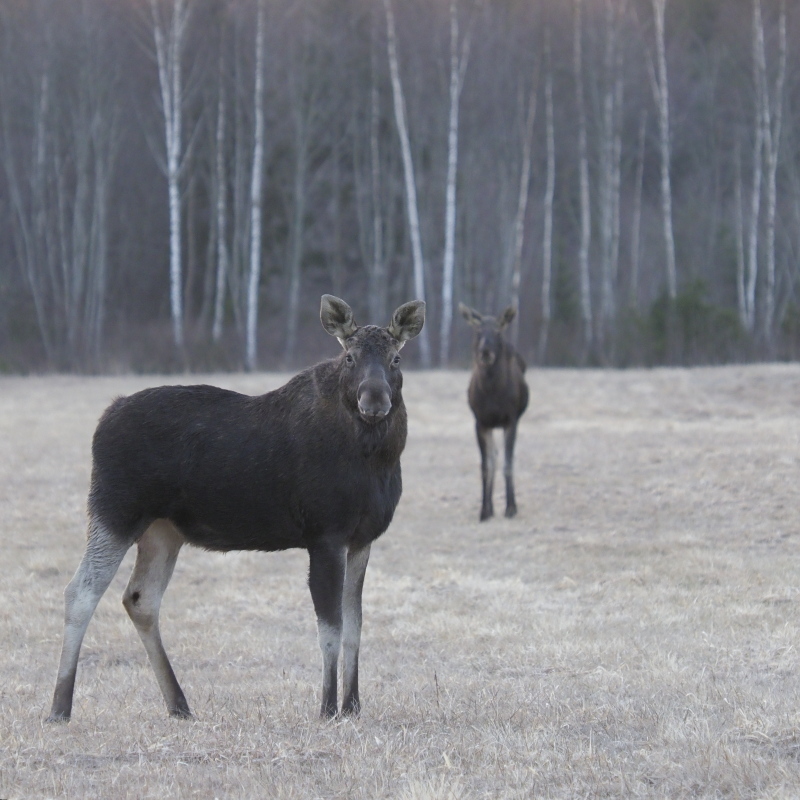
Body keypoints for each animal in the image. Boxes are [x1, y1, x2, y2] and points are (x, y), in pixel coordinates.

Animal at [47, 295, 425, 723]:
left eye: (396, 358)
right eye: (349, 356)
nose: (374, 399)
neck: (375, 460)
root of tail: (104, 418)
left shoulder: (362, 539)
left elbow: (356, 626)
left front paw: (353, 706)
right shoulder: (325, 534)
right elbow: (330, 627)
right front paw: (328, 708)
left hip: (163, 529)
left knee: (140, 598)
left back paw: (179, 704)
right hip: (114, 509)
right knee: (80, 591)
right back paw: (60, 707)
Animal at [459, 303, 529, 521]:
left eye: (498, 332)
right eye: (478, 331)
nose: (485, 352)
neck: (492, 396)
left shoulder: (511, 420)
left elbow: (508, 463)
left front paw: (511, 508)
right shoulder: (480, 421)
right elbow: (486, 465)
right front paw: (484, 510)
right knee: (494, 456)